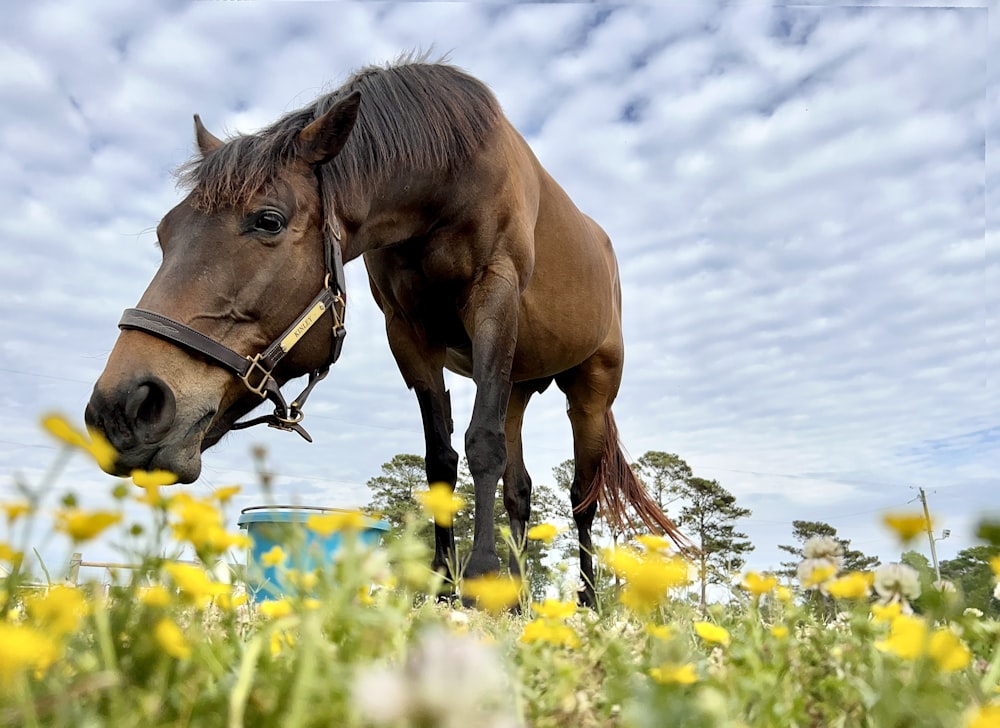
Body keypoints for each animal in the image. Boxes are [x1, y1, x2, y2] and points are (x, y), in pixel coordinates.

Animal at [86, 58, 684, 604]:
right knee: (520, 489)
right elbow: (441, 460)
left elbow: (480, 444)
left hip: (589, 389)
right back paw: (519, 599)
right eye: (164, 233)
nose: (123, 409)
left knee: (582, 495)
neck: (450, 178)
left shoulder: (494, 297)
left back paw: (588, 600)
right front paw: (442, 585)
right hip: (516, 383)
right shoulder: (410, 335)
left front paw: (479, 575)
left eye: (269, 220)